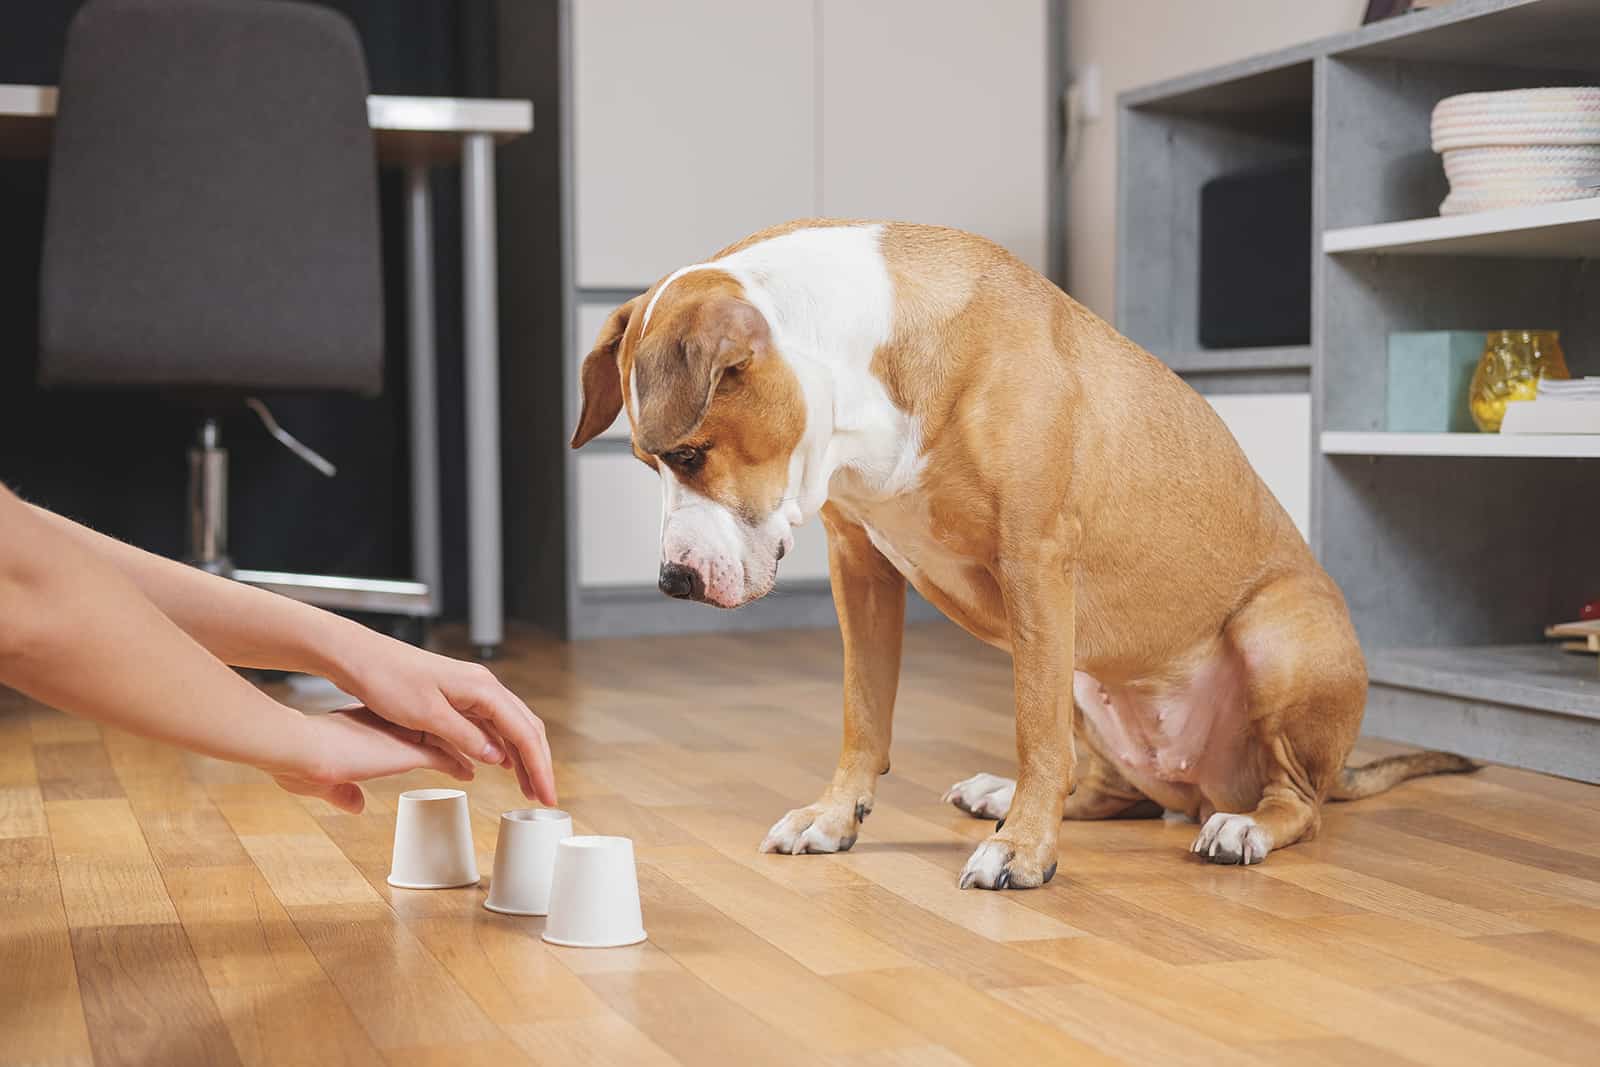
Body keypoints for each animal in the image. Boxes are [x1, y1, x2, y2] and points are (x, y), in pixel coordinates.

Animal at [569, 220, 1465, 889]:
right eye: (647, 462)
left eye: (688, 455)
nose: (671, 580)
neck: (866, 362)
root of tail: (1202, 784)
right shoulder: (859, 565)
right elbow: (865, 710)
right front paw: (833, 815)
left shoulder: (1033, 563)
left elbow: (1033, 728)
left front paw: (1024, 850)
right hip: (1089, 670)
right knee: (1103, 786)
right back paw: (1000, 793)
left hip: (1277, 634)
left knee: (1294, 802)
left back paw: (1238, 826)